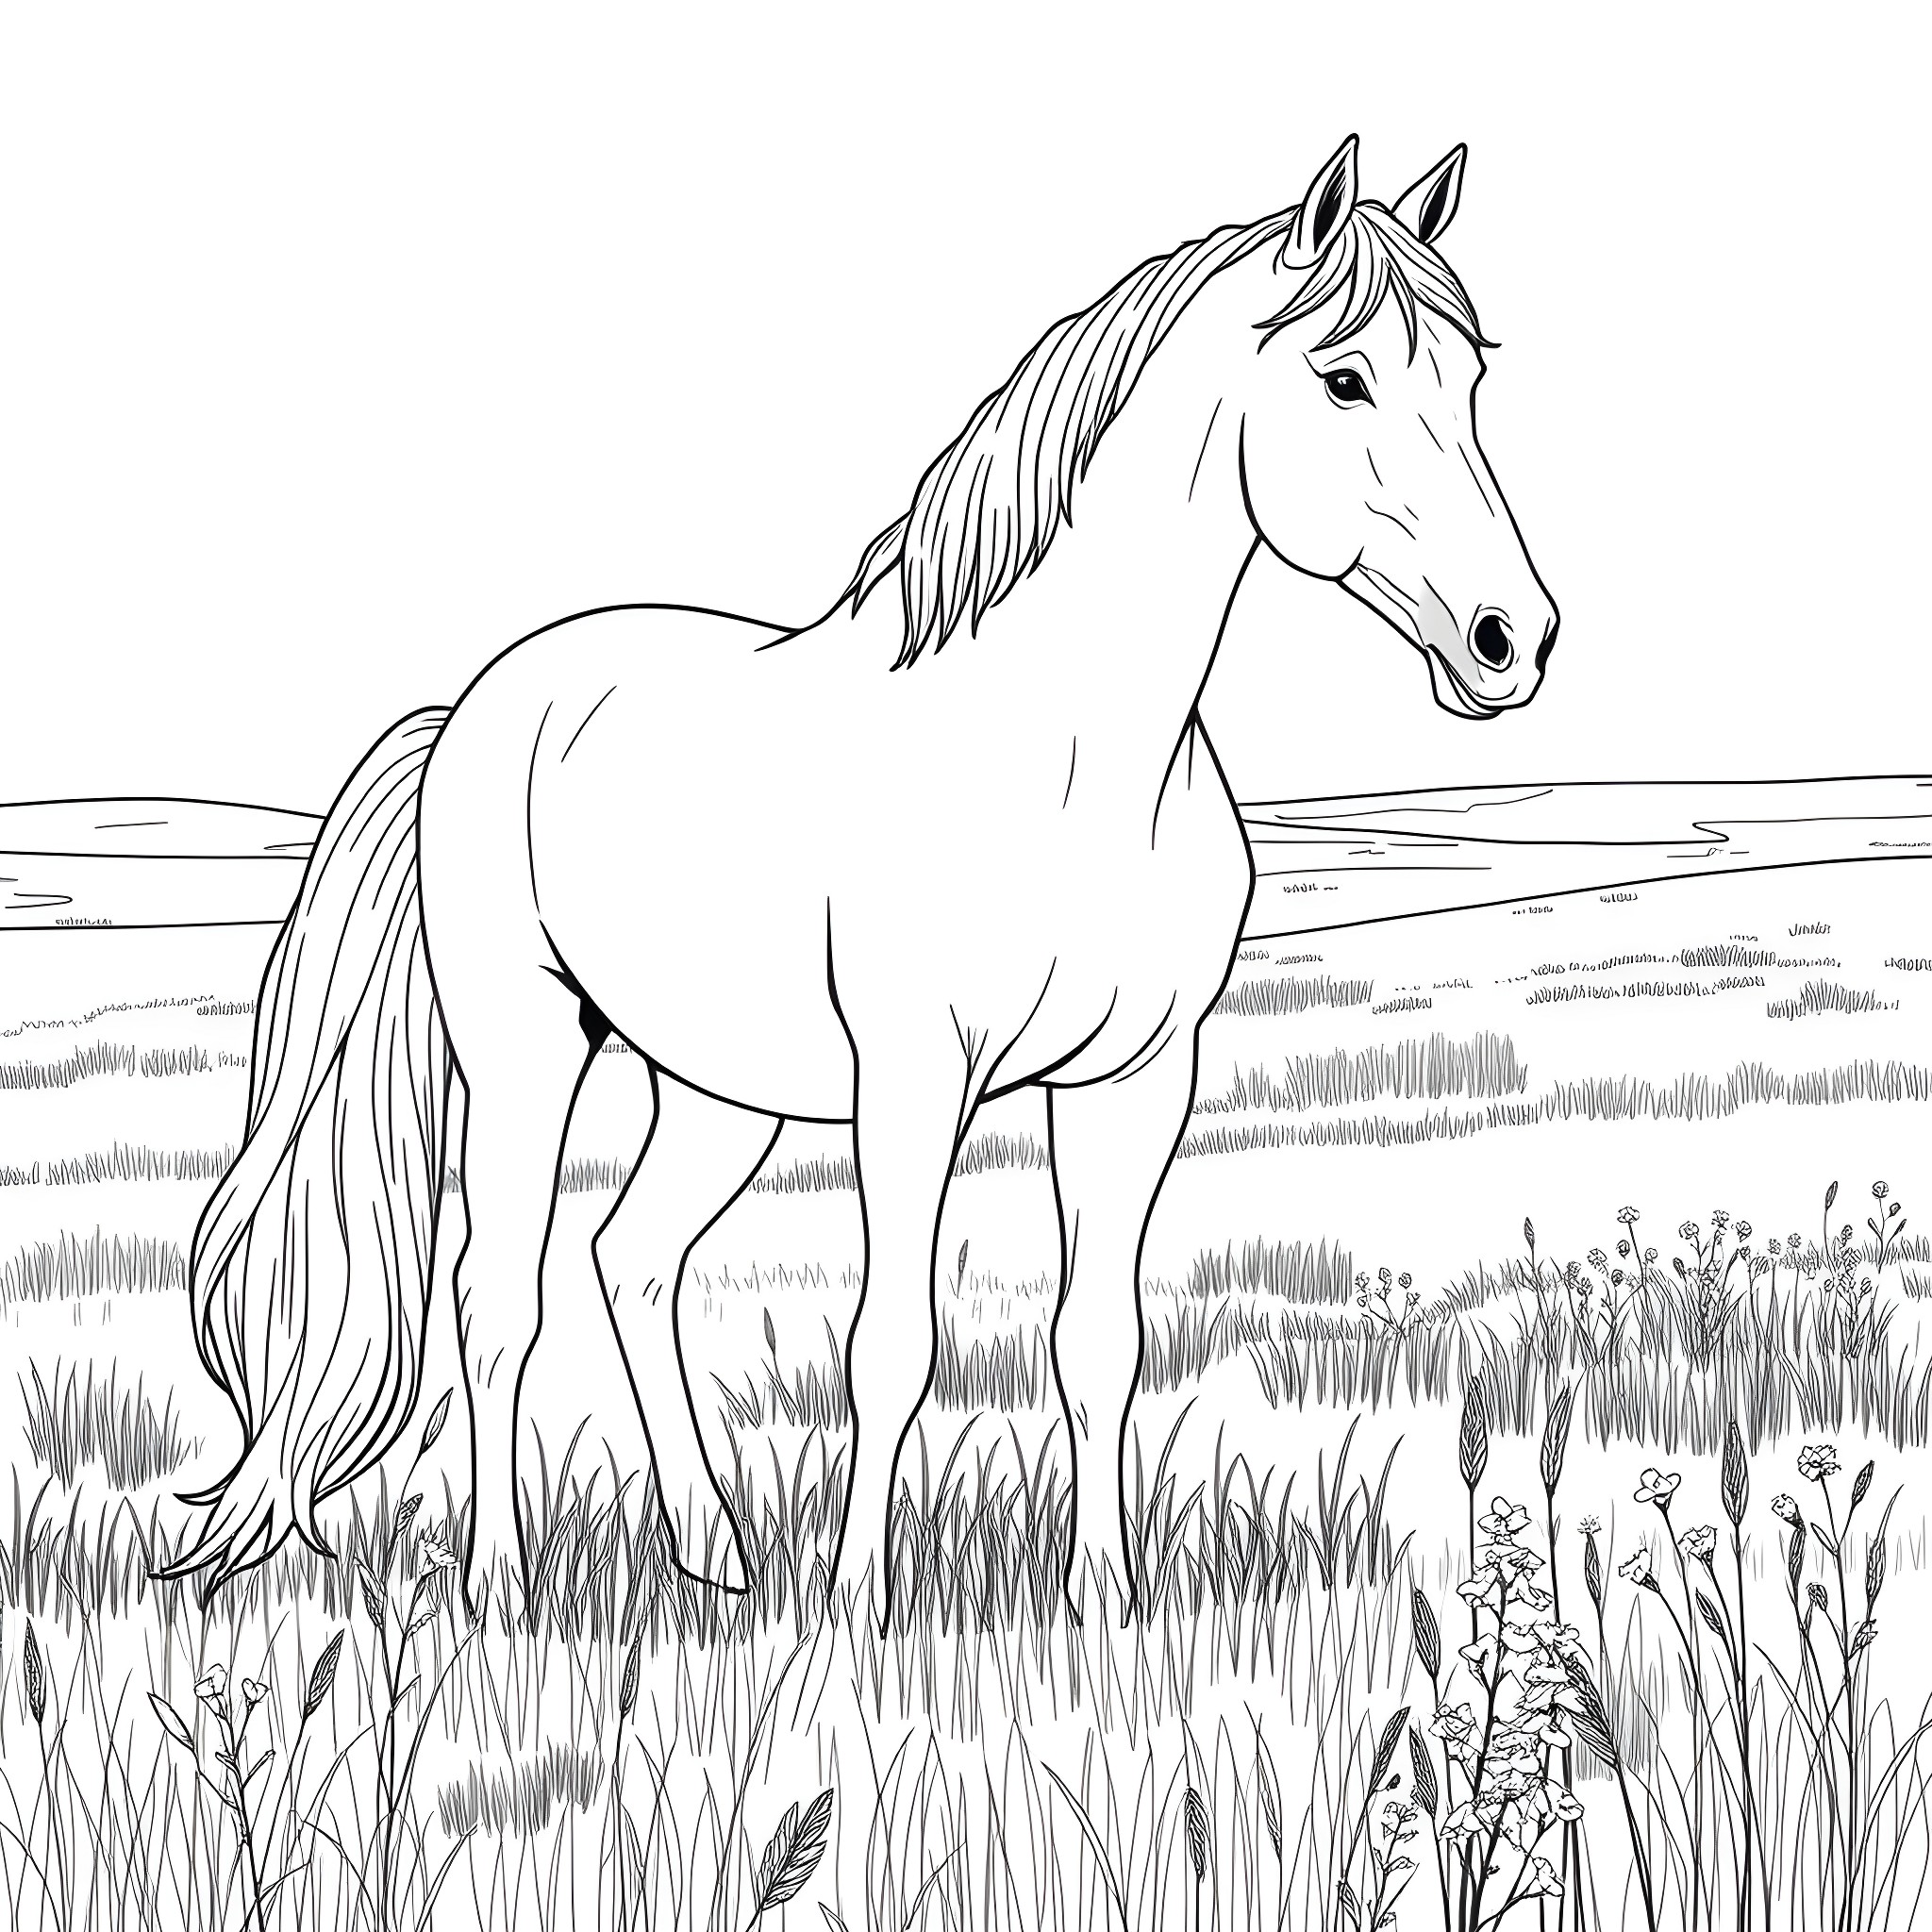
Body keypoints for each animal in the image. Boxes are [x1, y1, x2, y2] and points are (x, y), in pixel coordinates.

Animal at [162, 135, 1557, 1625]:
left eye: (1470, 381)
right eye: (1343, 378)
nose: (1510, 640)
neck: (1067, 756)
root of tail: (480, 704)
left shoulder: (1135, 1081)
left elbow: (1099, 1340)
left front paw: (1103, 1605)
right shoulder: (912, 1079)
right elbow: (891, 1340)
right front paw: (856, 1610)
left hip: (718, 1092)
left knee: (632, 1263)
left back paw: (714, 1552)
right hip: (526, 1047)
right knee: (499, 1302)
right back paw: (502, 1588)